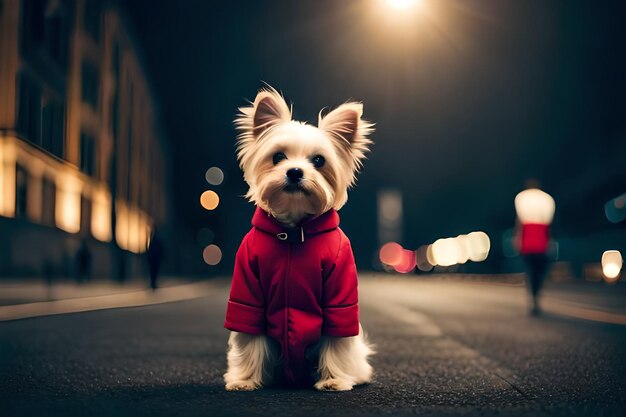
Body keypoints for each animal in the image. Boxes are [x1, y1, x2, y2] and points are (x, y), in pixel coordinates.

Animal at [223, 86, 370, 388]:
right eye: (278, 157)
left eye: (319, 161)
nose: (294, 172)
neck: (293, 232)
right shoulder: (247, 291)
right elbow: (249, 335)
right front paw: (245, 380)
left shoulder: (339, 296)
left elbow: (335, 339)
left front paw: (334, 380)